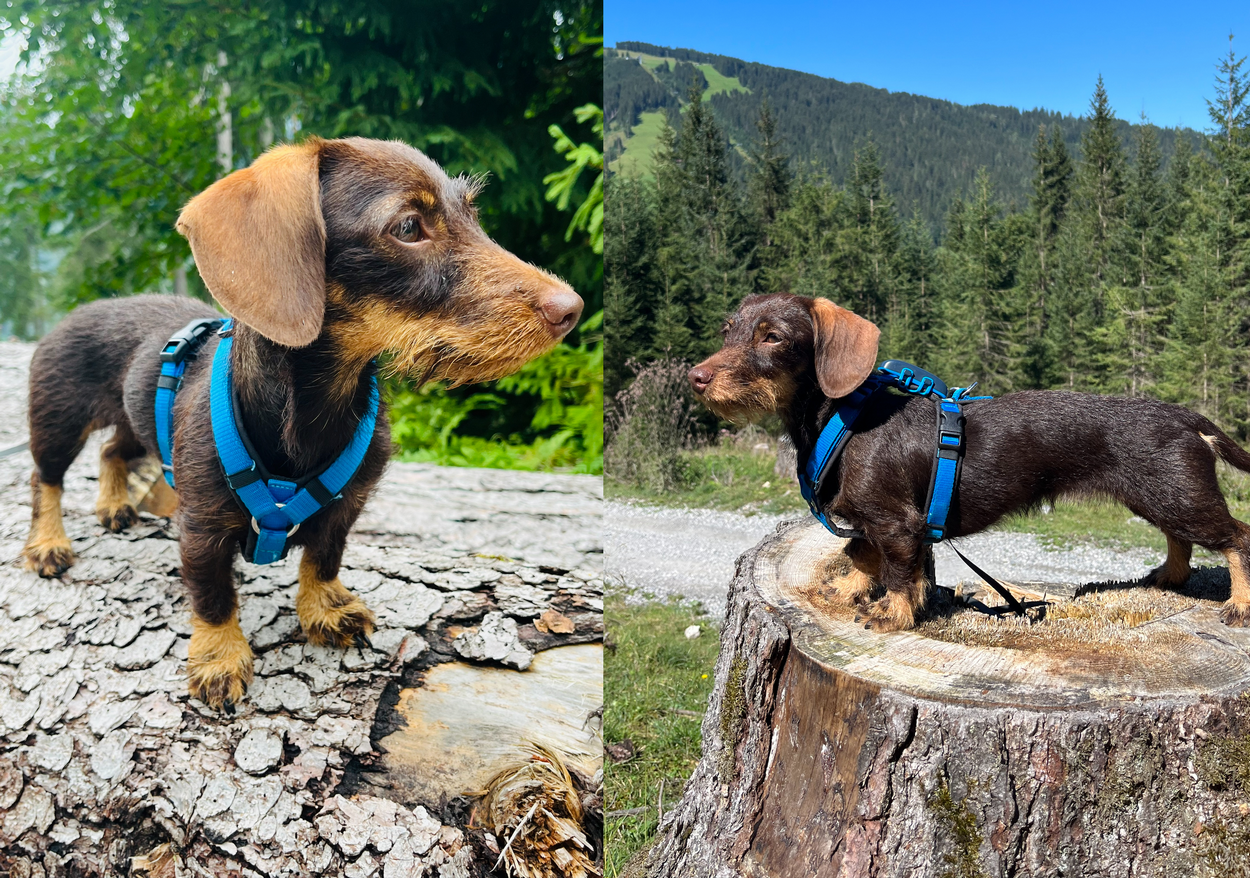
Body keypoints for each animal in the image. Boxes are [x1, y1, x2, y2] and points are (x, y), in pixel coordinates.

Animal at [22, 139, 582, 715]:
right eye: (408, 226)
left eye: (473, 215)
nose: (573, 309)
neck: (318, 407)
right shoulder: (200, 525)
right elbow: (213, 594)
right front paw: (219, 657)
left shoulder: (347, 505)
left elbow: (324, 557)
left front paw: (324, 609)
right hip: (57, 420)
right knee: (46, 480)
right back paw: (47, 544)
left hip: (135, 422)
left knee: (112, 450)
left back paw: (113, 506)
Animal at [690, 293, 1250, 632]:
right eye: (727, 330)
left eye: (772, 337)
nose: (695, 377)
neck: (845, 420)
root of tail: (1184, 415)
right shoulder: (876, 522)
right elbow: (861, 553)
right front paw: (852, 587)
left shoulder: (898, 523)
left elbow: (899, 571)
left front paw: (892, 614)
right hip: (1162, 496)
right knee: (1182, 539)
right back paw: (1169, 577)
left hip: (1178, 496)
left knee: (1236, 539)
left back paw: (1239, 604)